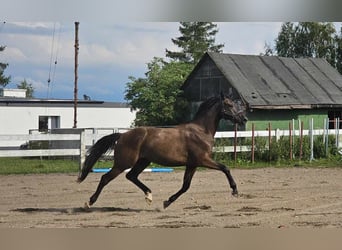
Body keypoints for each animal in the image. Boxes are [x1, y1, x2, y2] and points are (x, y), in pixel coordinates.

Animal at [77, 94, 247, 209]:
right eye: (229, 104)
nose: (244, 119)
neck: (201, 131)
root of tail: (123, 135)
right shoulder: (202, 160)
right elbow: (225, 168)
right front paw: (235, 191)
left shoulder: (192, 164)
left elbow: (186, 186)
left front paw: (167, 202)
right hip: (123, 163)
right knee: (106, 178)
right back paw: (90, 202)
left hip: (143, 161)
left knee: (131, 176)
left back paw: (149, 196)